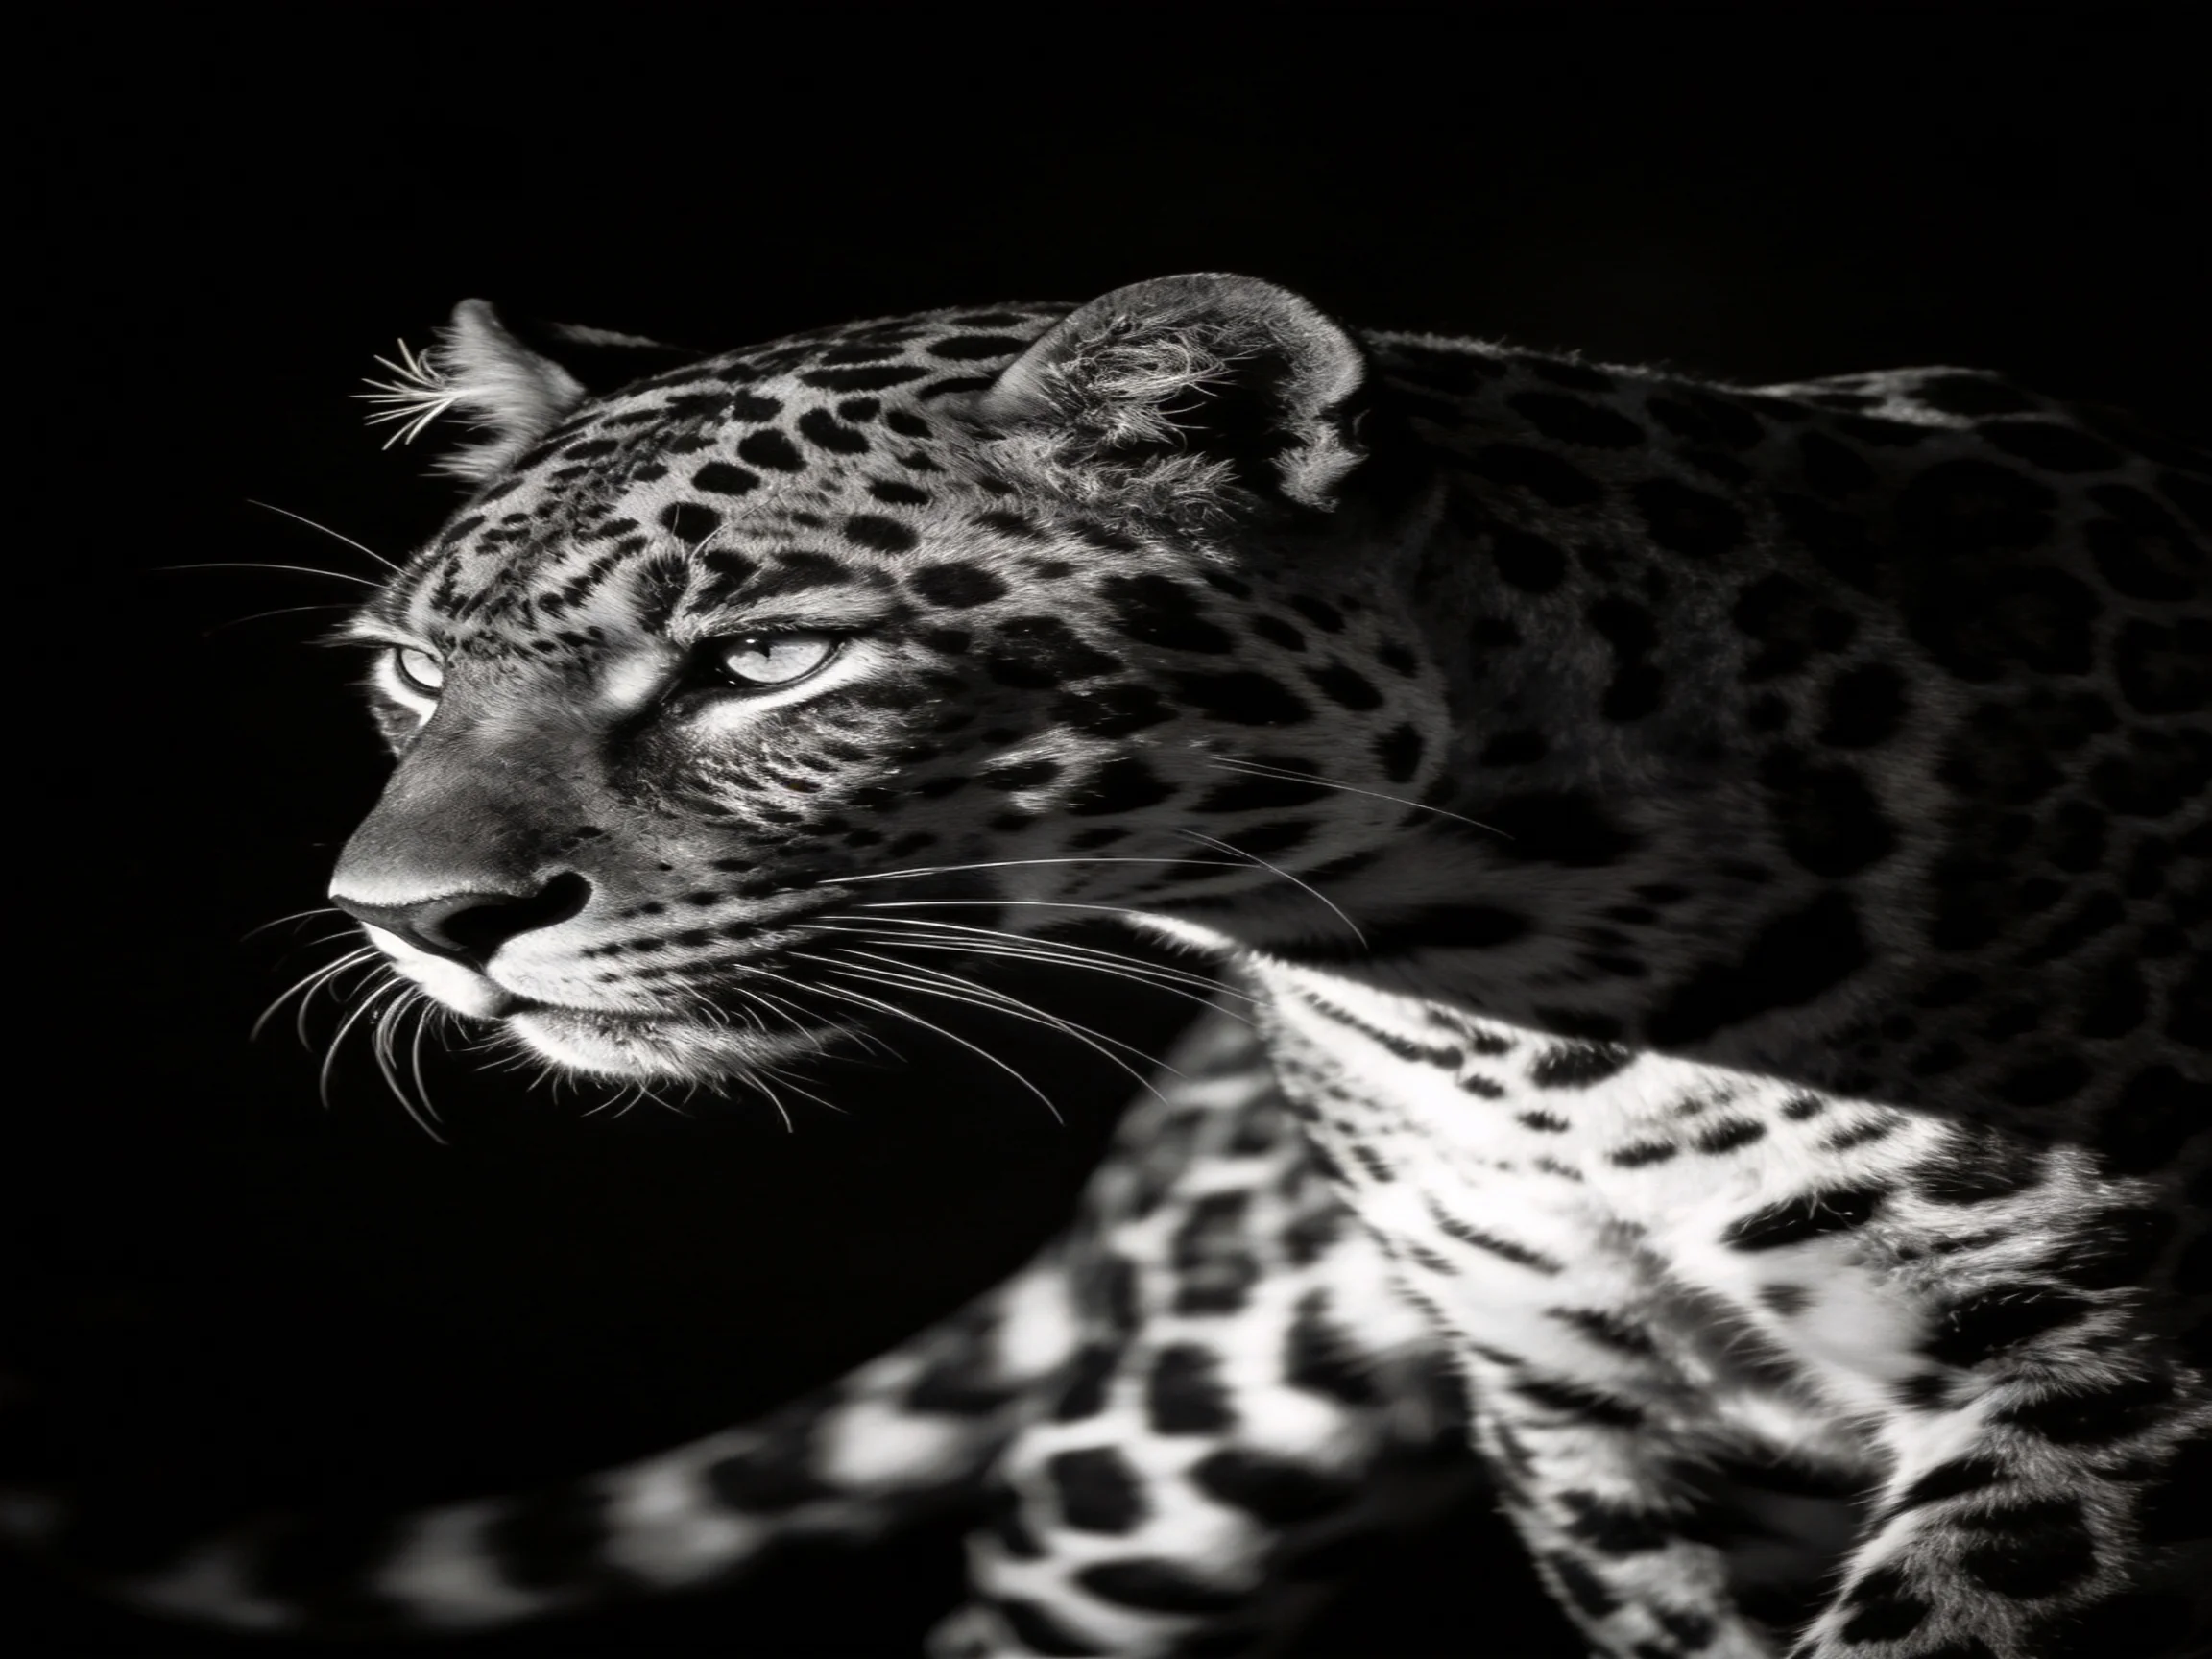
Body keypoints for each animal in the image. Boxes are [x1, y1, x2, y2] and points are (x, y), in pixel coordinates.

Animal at [21, 274, 2208, 1657]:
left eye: (768, 659)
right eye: (415, 666)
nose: (410, 919)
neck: (1529, 1017)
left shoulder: (2103, 1378)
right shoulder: (1592, 1415)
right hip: (1160, 1451)